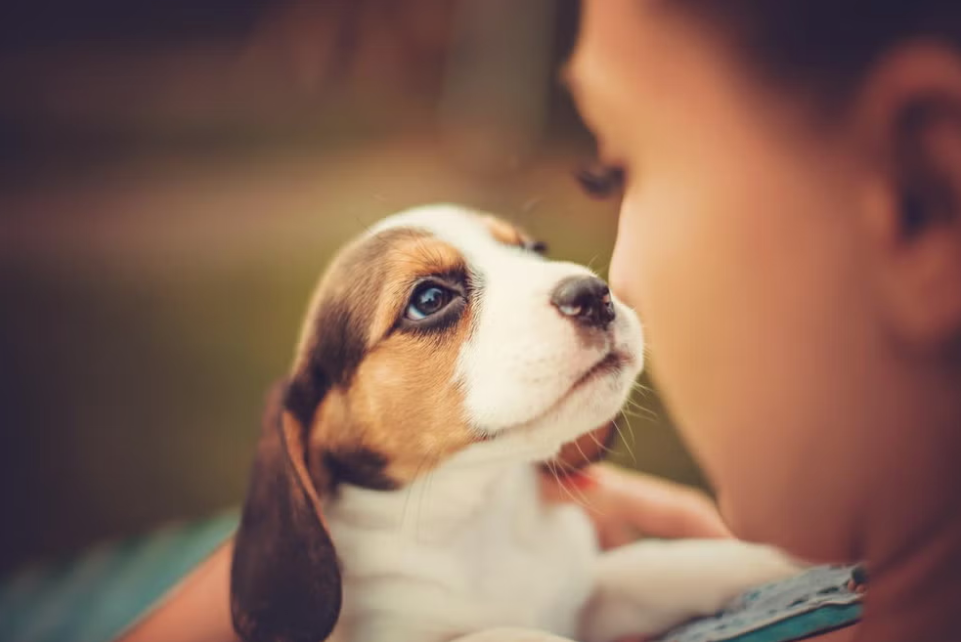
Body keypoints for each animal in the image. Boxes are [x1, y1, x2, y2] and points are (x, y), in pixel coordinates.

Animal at [229, 204, 800, 640]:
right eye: (429, 299)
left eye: (534, 250)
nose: (594, 293)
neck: (477, 512)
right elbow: (513, 634)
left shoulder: (588, 597)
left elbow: (656, 568)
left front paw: (772, 561)